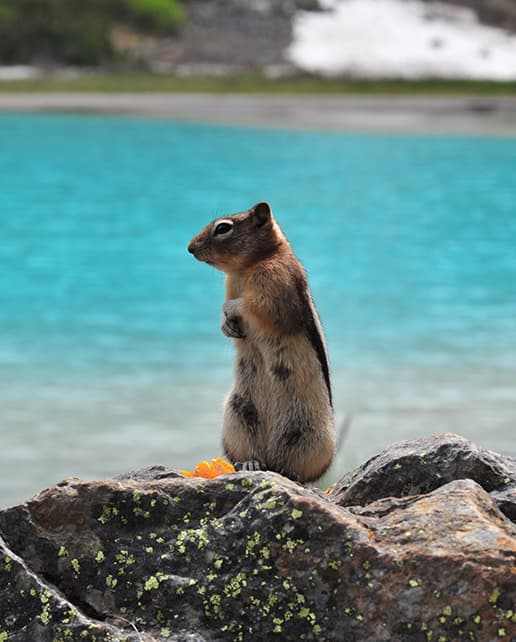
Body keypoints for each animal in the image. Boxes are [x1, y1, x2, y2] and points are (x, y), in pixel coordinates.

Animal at [187, 200, 336, 480]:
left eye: (223, 228)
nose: (190, 248)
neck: (246, 268)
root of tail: (271, 460)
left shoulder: (274, 283)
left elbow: (255, 307)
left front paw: (229, 309)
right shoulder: (231, 284)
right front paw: (225, 325)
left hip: (314, 436)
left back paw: (291, 473)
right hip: (236, 414)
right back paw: (251, 464)